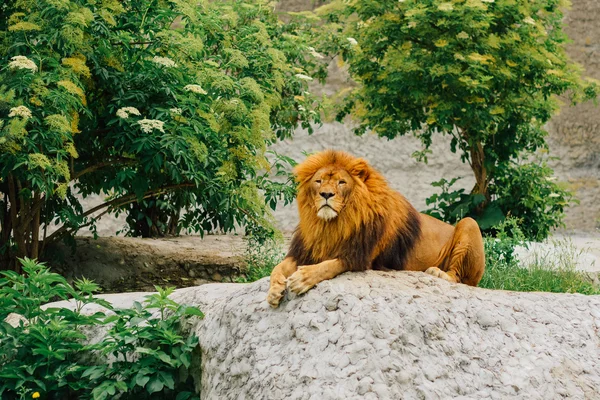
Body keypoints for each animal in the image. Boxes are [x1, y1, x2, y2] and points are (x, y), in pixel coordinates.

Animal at [268, 148, 482, 308]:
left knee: (459, 278)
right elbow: (278, 267)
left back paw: (438, 273)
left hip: (470, 223)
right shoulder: (303, 251)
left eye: (341, 182)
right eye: (318, 181)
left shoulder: (360, 256)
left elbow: (329, 266)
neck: (331, 224)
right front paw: (274, 290)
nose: (326, 194)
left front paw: (303, 278)